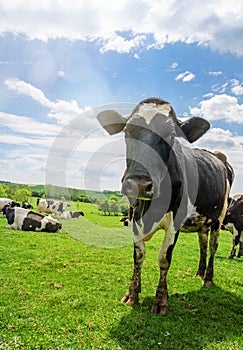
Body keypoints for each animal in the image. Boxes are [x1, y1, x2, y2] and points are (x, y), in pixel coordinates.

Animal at [97, 97, 234, 316]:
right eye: (127, 132)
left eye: (171, 135)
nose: (139, 184)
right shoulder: (133, 217)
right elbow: (138, 255)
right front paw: (133, 292)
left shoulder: (175, 223)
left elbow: (164, 258)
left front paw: (161, 300)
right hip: (202, 222)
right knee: (203, 244)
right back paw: (199, 272)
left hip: (218, 218)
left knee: (213, 246)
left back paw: (208, 278)